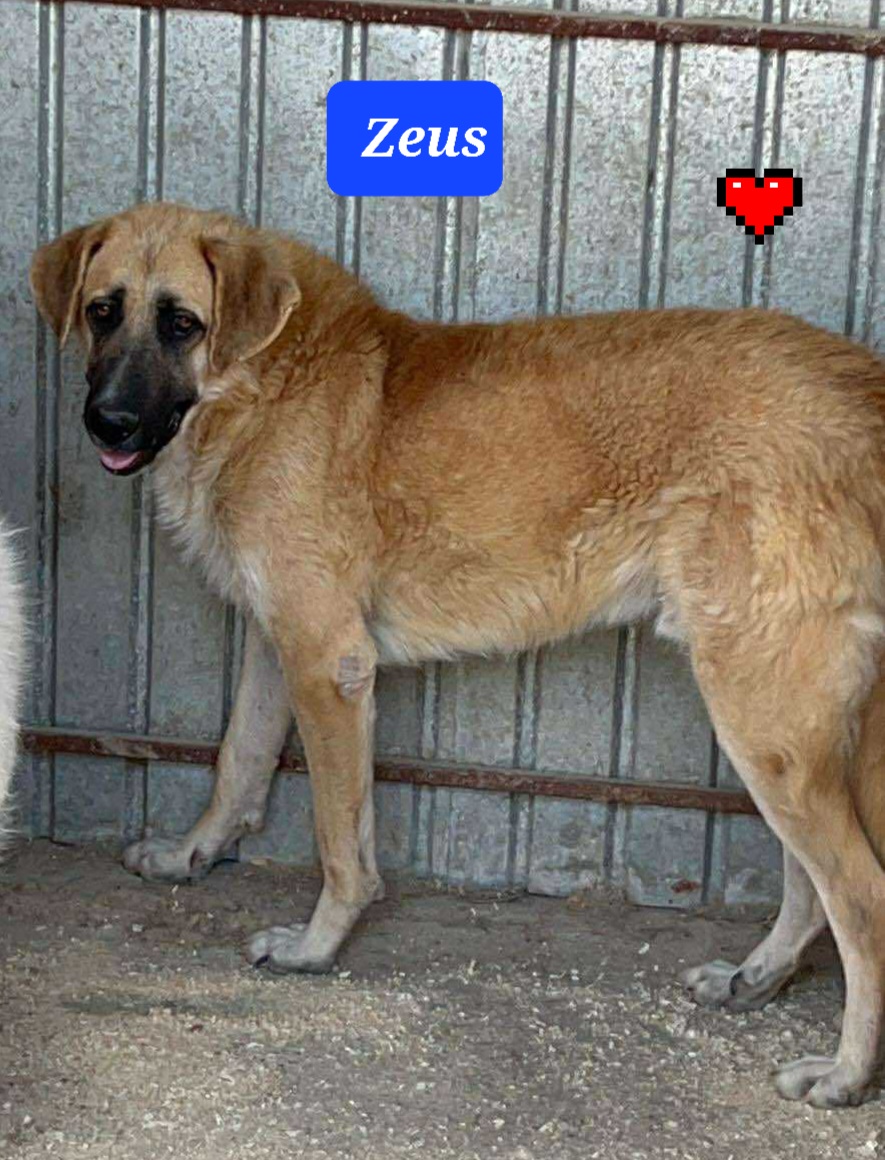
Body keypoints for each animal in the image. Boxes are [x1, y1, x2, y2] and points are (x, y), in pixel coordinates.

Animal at [30, 202, 885, 1108]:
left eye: (182, 324)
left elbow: (340, 835)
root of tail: (864, 387)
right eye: (102, 312)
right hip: (774, 720)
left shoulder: (327, 662)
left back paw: (844, 1072)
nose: (108, 423)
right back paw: (756, 979)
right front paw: (190, 855)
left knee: (859, 894)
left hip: (761, 714)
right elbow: (238, 761)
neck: (260, 382)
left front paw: (316, 947)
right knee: (809, 883)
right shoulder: (275, 641)